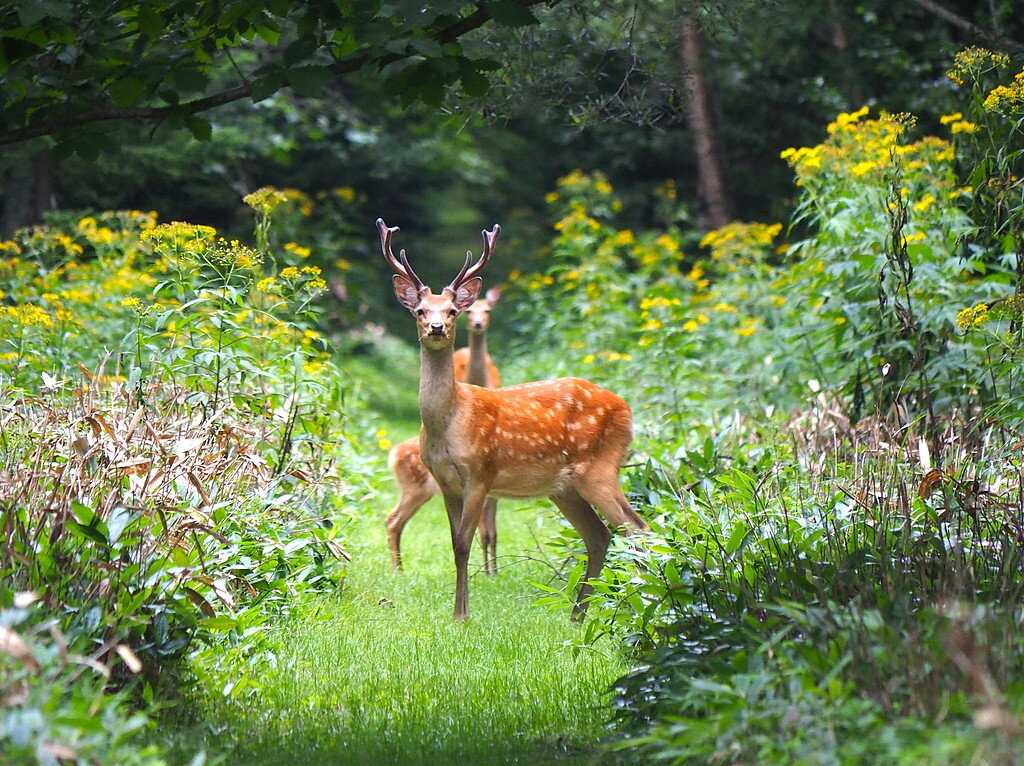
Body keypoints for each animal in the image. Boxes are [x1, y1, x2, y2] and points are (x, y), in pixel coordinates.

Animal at [385, 284, 501, 573]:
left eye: (488, 310)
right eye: (468, 312)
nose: (479, 323)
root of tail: (393, 455)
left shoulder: (493, 496)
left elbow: (493, 533)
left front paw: (494, 570)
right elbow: (483, 532)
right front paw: (487, 573)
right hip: (417, 487)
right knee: (392, 519)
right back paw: (397, 569)